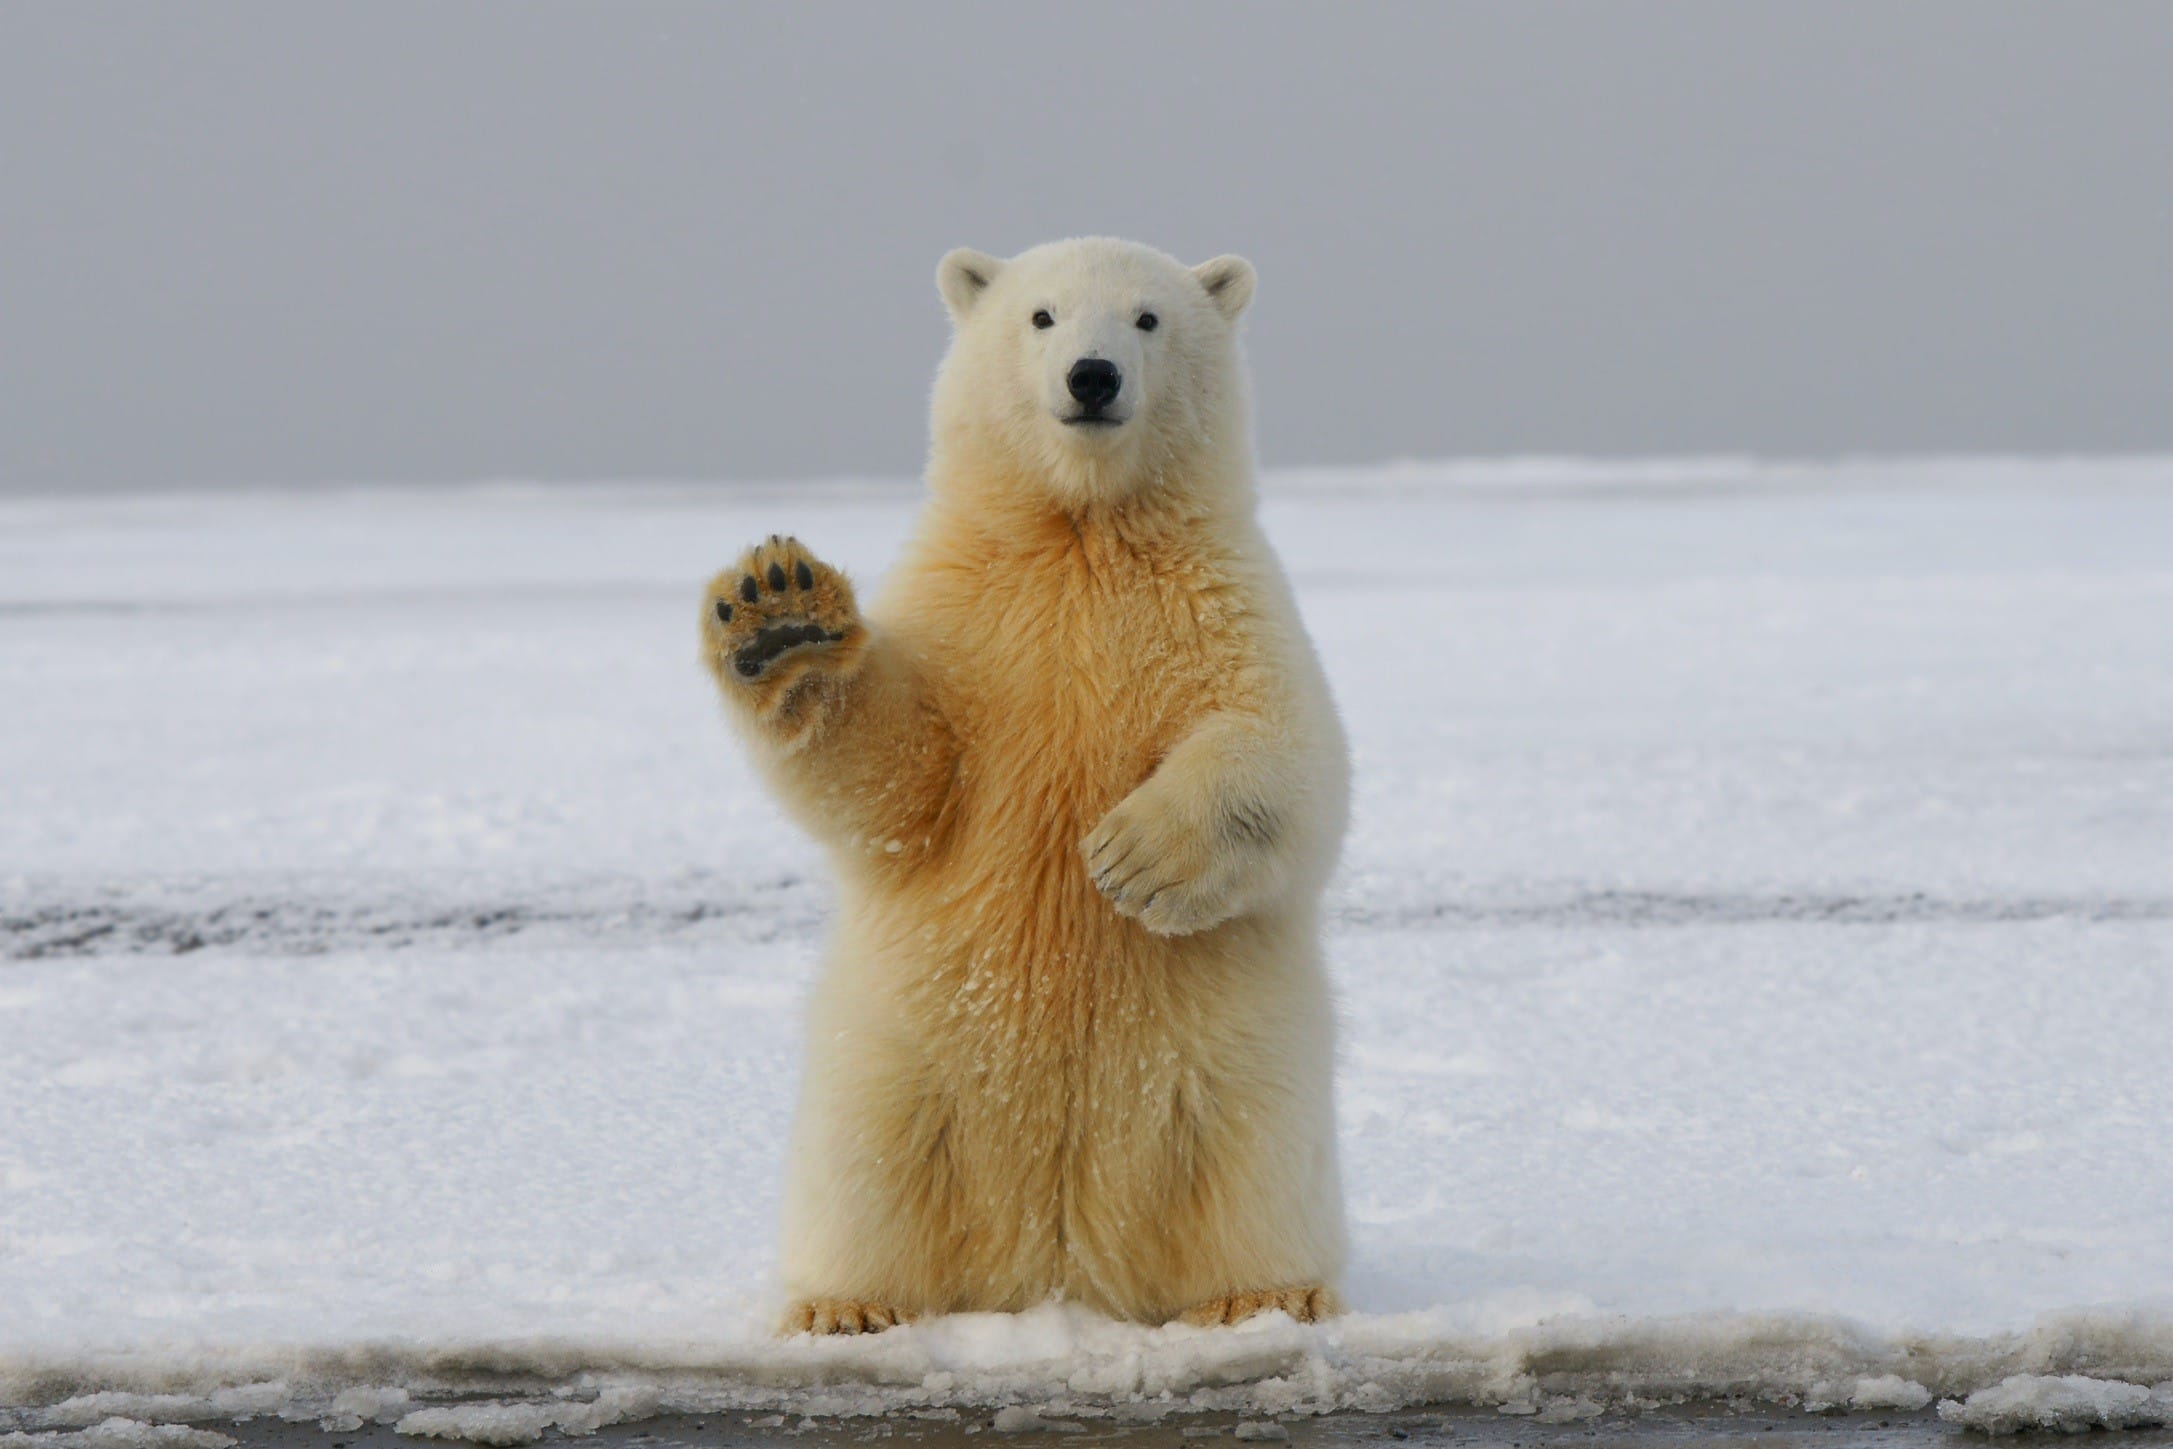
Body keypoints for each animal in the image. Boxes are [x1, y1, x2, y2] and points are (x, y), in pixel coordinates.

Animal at [698, 237, 1349, 1334]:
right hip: (897, 1061)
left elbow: (1287, 754)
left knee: (1250, 1167)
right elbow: (900, 777)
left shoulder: (1223, 602)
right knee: (866, 1171)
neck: (1079, 531)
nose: (1092, 377)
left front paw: (1132, 857)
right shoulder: (970, 615)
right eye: (1040, 316)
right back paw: (845, 1305)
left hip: (1236, 1070)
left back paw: (1266, 1294)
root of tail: (1056, 1265)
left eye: (1146, 318)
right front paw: (779, 615)